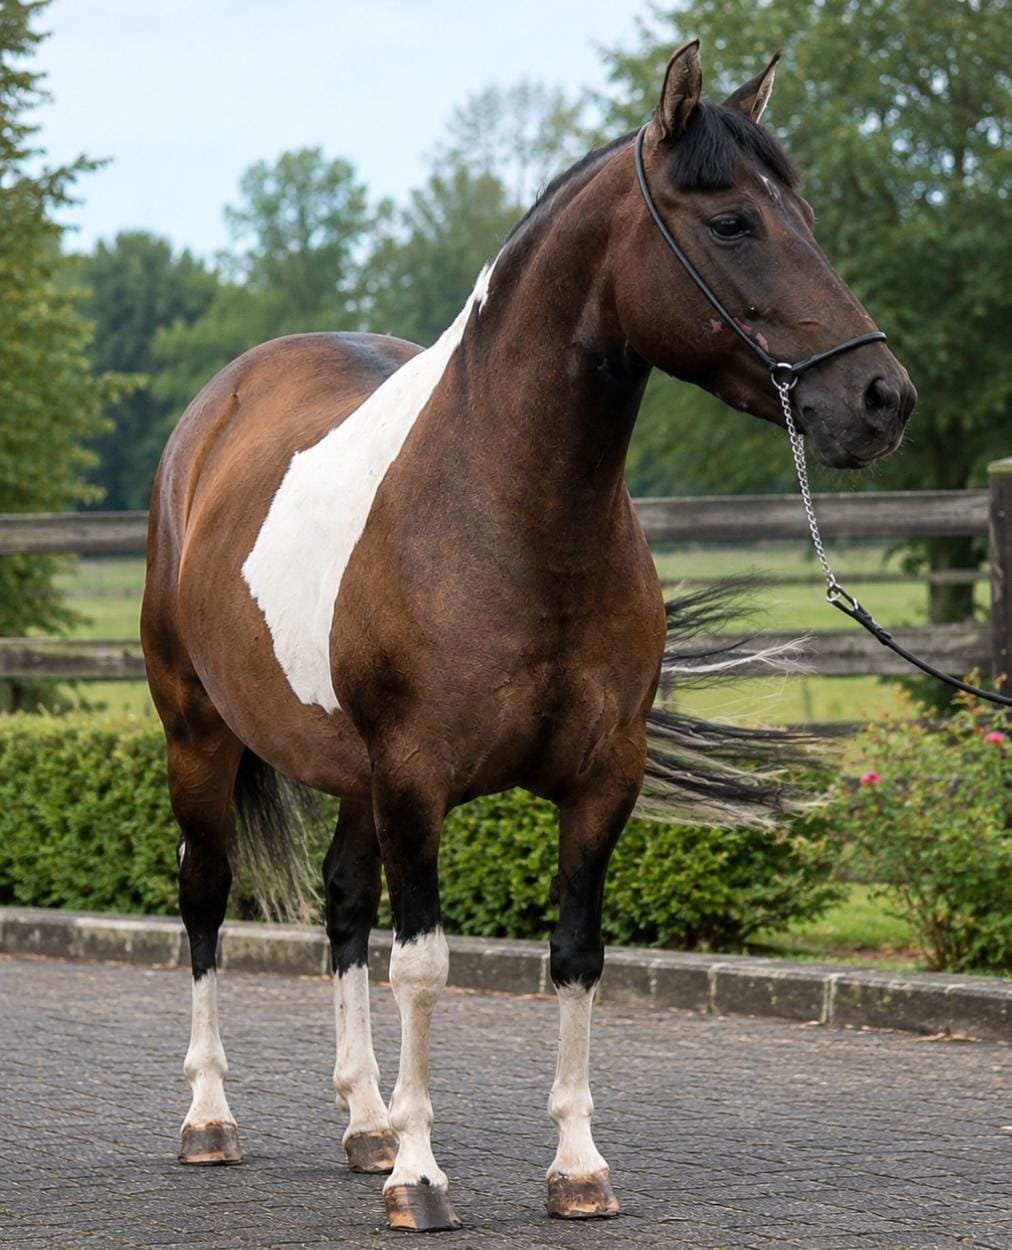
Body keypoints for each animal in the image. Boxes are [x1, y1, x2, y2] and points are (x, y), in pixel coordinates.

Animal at [141, 40, 915, 1232]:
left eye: (809, 214)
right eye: (733, 221)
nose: (881, 398)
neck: (505, 510)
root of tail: (212, 415)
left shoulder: (601, 780)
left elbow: (576, 954)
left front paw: (576, 1166)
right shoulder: (416, 778)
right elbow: (424, 966)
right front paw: (421, 1178)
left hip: (351, 774)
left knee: (342, 907)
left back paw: (364, 1121)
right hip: (200, 737)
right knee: (205, 898)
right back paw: (211, 1117)